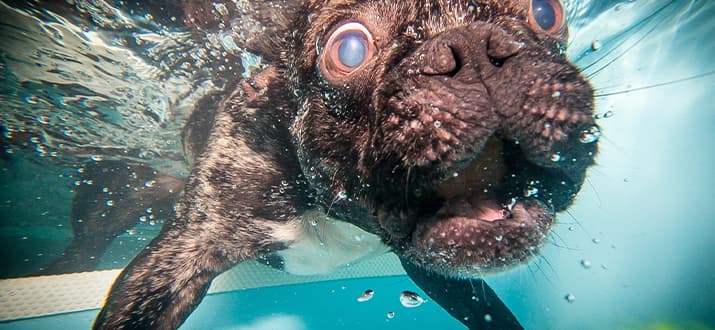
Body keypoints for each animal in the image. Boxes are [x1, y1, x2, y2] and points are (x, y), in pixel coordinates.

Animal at [92, 0, 600, 328]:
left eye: (547, 12)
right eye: (349, 49)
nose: (475, 47)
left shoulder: (436, 271)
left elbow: (488, 311)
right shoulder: (180, 256)